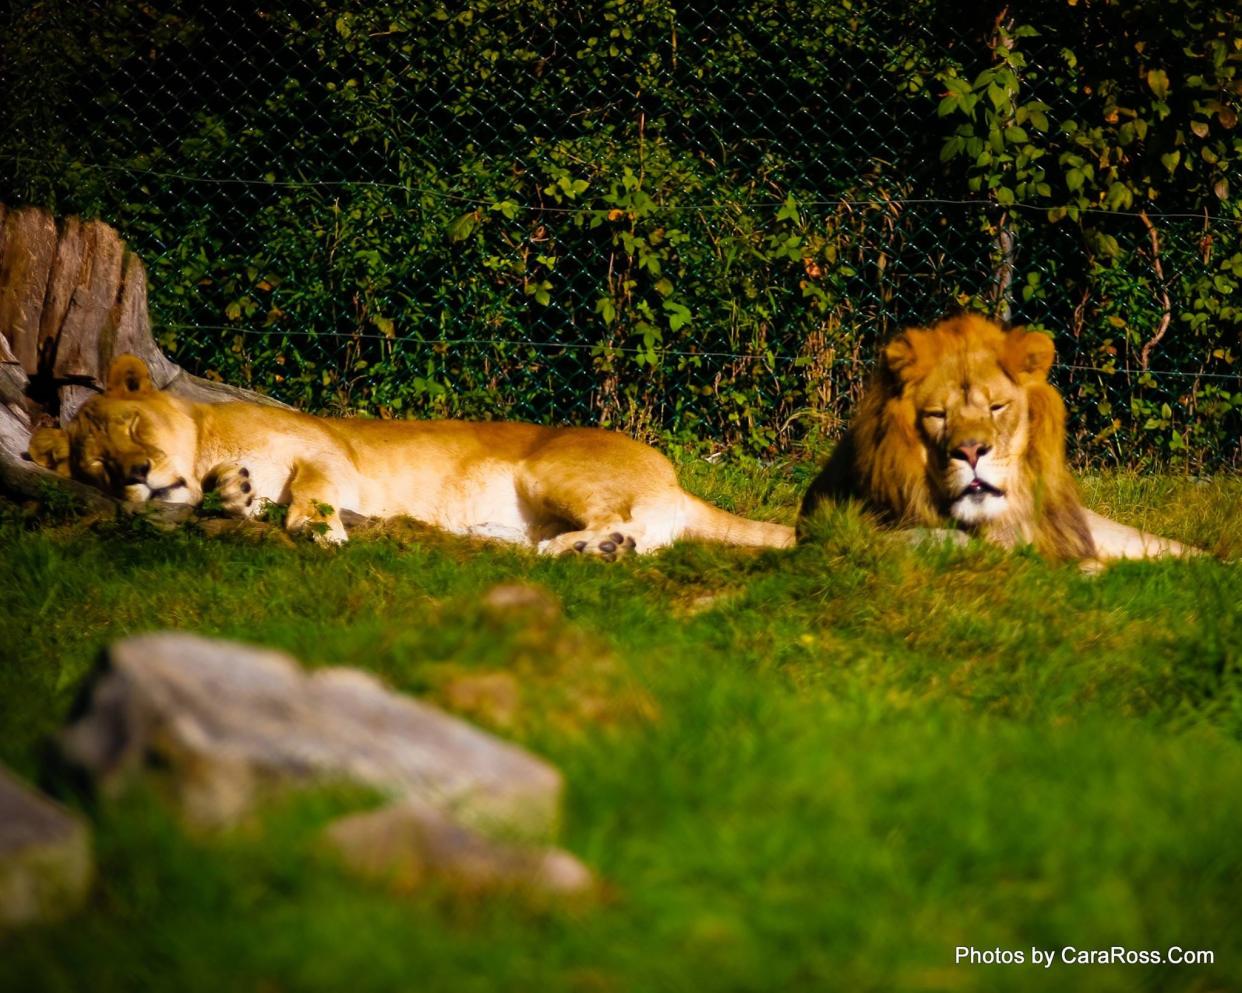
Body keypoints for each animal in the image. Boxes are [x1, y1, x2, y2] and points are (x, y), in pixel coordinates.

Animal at [36, 350, 794, 551]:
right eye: (98, 466)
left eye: (134, 429)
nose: (137, 474)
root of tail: (676, 479)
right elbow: (239, 494)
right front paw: (236, 493)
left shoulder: (325, 451)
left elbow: (312, 488)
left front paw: (316, 527)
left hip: (550, 468)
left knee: (625, 522)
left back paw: (580, 548)